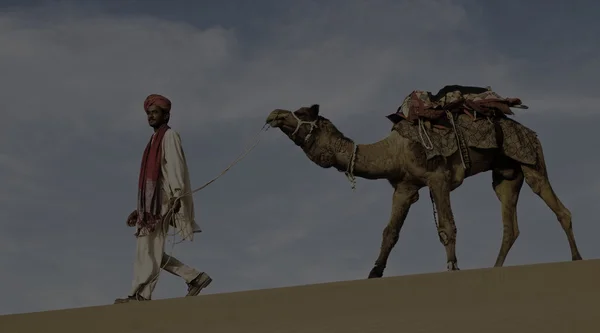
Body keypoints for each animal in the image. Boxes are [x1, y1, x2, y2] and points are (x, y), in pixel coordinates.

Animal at [266, 104, 580, 278]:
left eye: (300, 113)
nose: (274, 115)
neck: (394, 151)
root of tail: (531, 133)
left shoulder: (437, 177)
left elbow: (447, 227)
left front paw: (453, 268)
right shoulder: (405, 187)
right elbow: (390, 232)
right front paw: (374, 273)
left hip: (531, 159)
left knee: (558, 207)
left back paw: (577, 259)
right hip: (505, 175)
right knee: (510, 224)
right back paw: (496, 267)